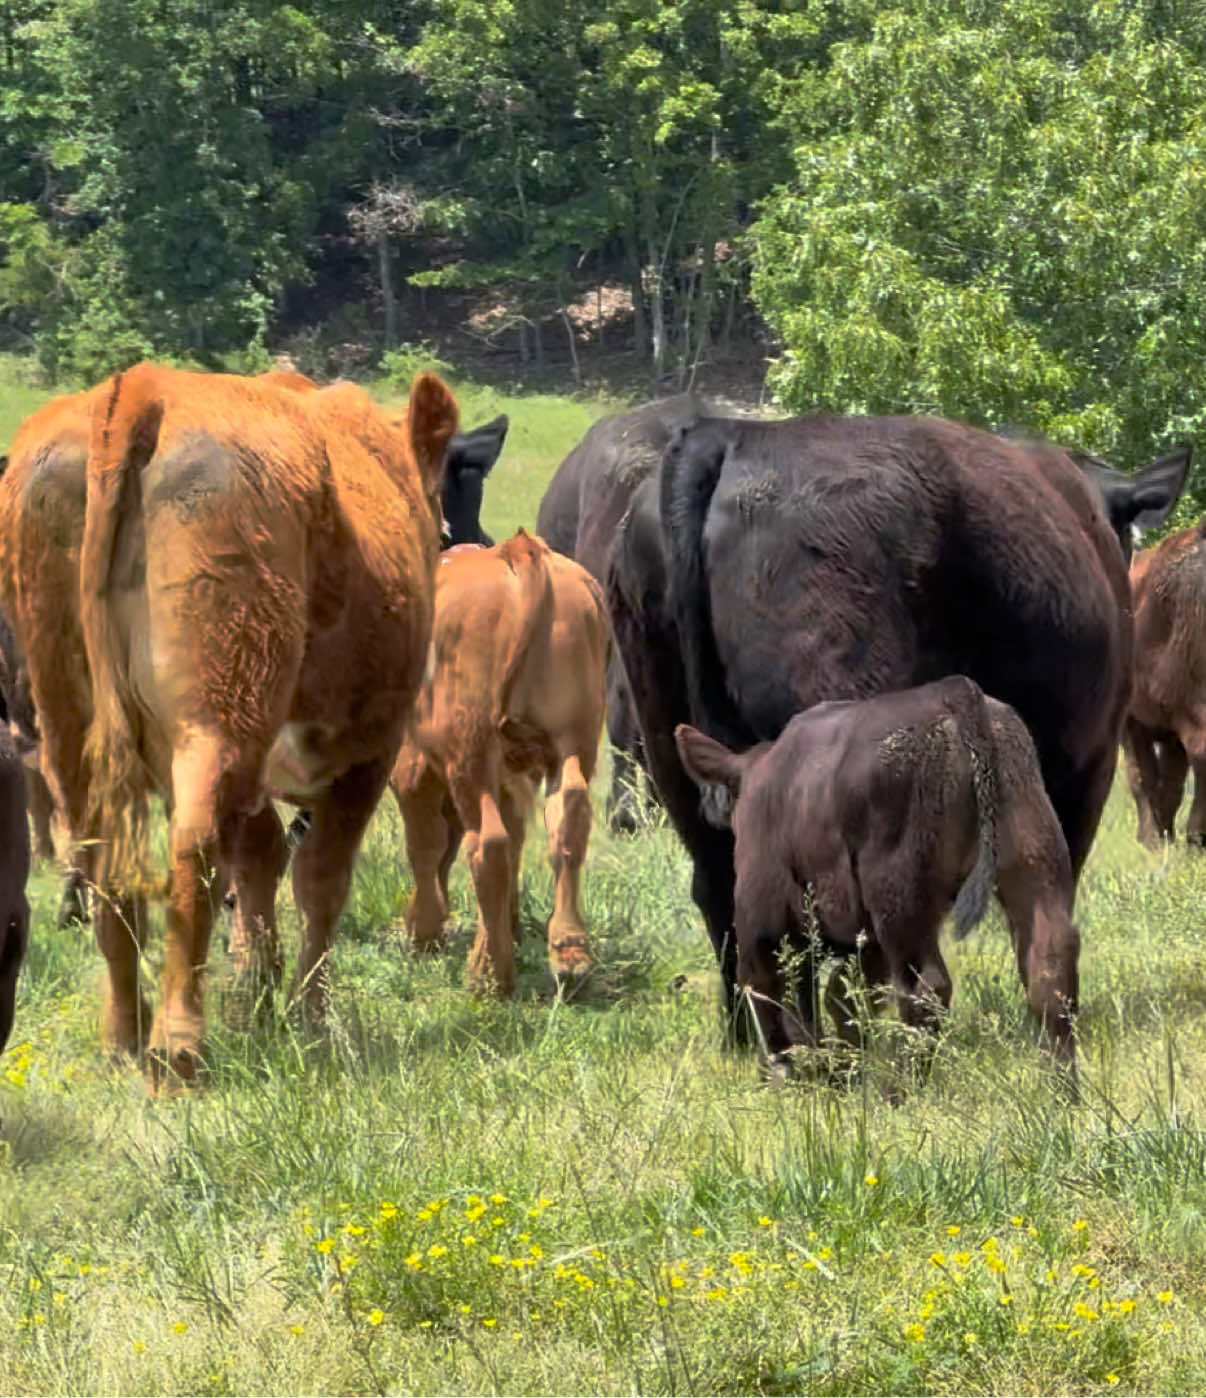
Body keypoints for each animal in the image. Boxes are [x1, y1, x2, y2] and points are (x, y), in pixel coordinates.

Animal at [78, 362, 459, 1090]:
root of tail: (155, 385)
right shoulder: (369, 751)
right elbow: (320, 879)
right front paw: (312, 1018)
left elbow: (259, 862)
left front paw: (255, 998)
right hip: (221, 724)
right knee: (193, 850)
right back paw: (178, 1047)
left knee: (111, 859)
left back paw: (123, 1039)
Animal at [390, 530, 608, 994]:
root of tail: (522, 551)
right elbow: (517, 836)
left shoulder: (410, 767)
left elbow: (425, 843)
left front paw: (424, 929)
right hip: (574, 740)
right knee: (567, 819)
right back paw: (569, 954)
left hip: (470, 753)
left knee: (487, 844)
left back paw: (488, 973)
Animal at [675, 677, 1080, 1076]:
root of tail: (952, 691)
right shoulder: (865, 941)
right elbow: (840, 1000)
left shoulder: (761, 920)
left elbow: (771, 997)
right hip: (1034, 862)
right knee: (1049, 968)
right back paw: (1060, 1085)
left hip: (898, 899)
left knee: (926, 987)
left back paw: (900, 1085)